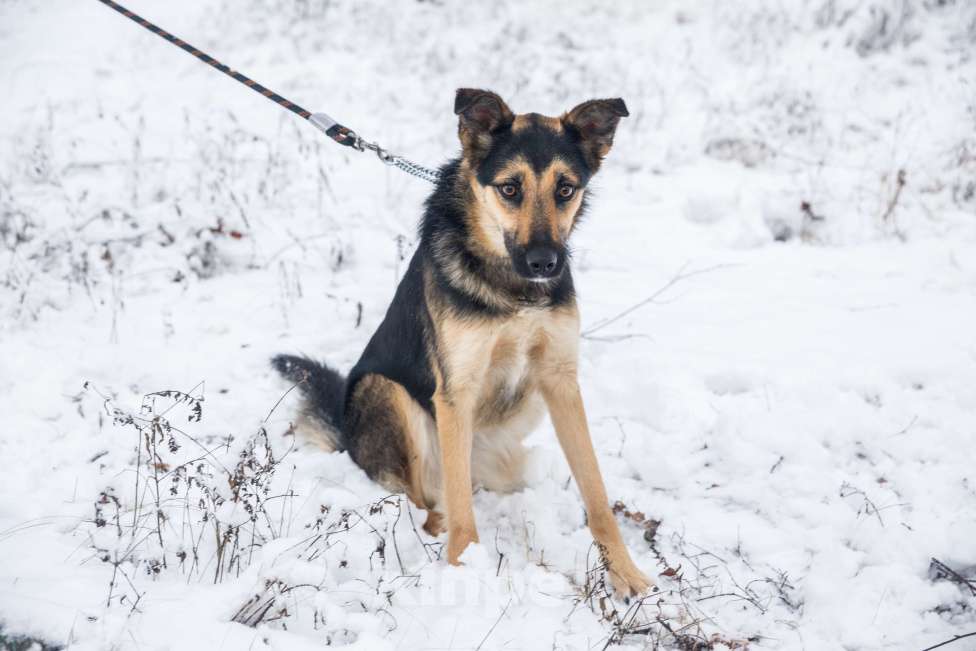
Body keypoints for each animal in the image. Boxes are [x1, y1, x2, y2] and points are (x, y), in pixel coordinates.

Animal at [274, 89, 652, 600]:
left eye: (565, 189)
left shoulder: (560, 382)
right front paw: (463, 571)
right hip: (386, 393)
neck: (513, 290)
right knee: (424, 501)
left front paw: (626, 574)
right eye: (510, 188)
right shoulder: (456, 391)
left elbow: (596, 496)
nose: (544, 262)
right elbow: (460, 510)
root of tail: (346, 438)